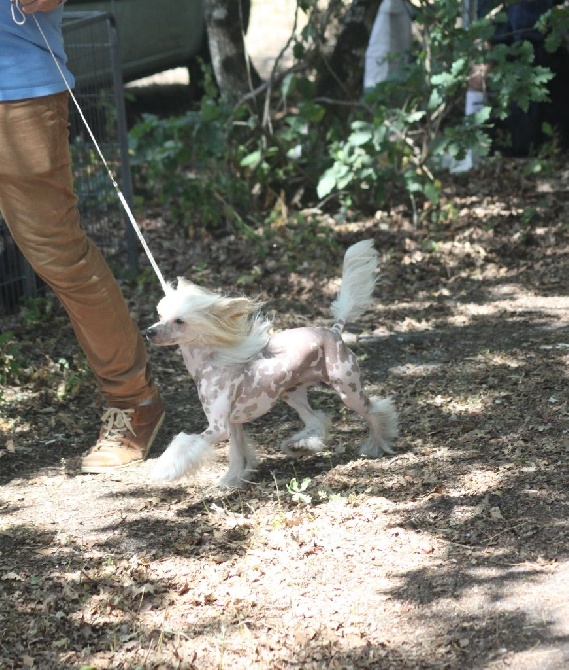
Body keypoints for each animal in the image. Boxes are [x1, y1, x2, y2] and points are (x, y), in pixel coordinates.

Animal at [144, 242, 398, 488]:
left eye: (179, 321)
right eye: (161, 315)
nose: (149, 332)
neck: (212, 363)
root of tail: (334, 332)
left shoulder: (218, 427)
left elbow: (184, 443)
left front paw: (164, 471)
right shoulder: (234, 424)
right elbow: (237, 454)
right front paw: (232, 480)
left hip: (348, 389)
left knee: (375, 411)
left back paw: (377, 444)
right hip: (292, 393)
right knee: (316, 419)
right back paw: (299, 445)